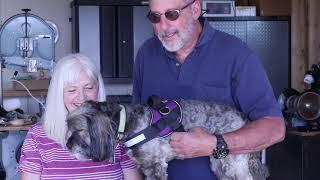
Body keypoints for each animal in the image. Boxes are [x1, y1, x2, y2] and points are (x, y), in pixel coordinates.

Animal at [65, 98, 268, 180]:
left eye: (79, 129)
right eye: (68, 127)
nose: (68, 145)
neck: (127, 121)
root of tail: (243, 118)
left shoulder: (156, 166)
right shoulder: (147, 168)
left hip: (234, 164)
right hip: (219, 165)